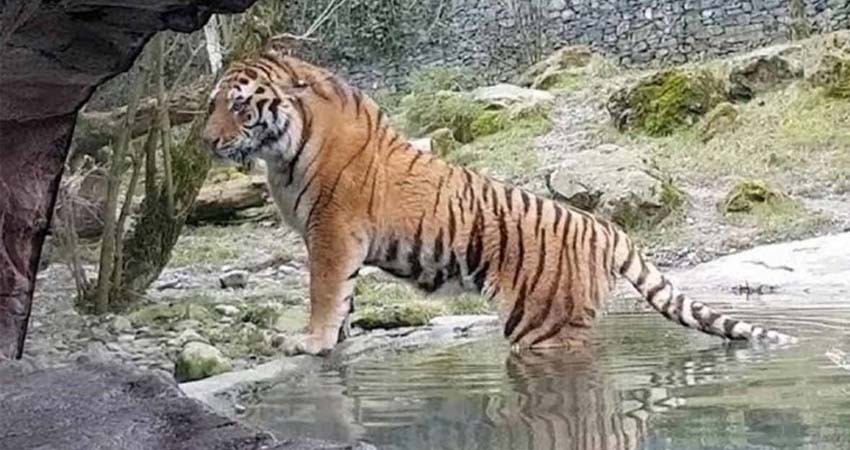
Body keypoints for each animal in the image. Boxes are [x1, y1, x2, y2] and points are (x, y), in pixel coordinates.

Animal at [201, 50, 797, 356]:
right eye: (211, 105)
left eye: (240, 106)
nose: (207, 141)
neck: (284, 149)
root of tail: (607, 228)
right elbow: (343, 298)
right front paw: (336, 340)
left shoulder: (331, 232)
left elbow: (323, 293)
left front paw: (309, 342)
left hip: (544, 324)